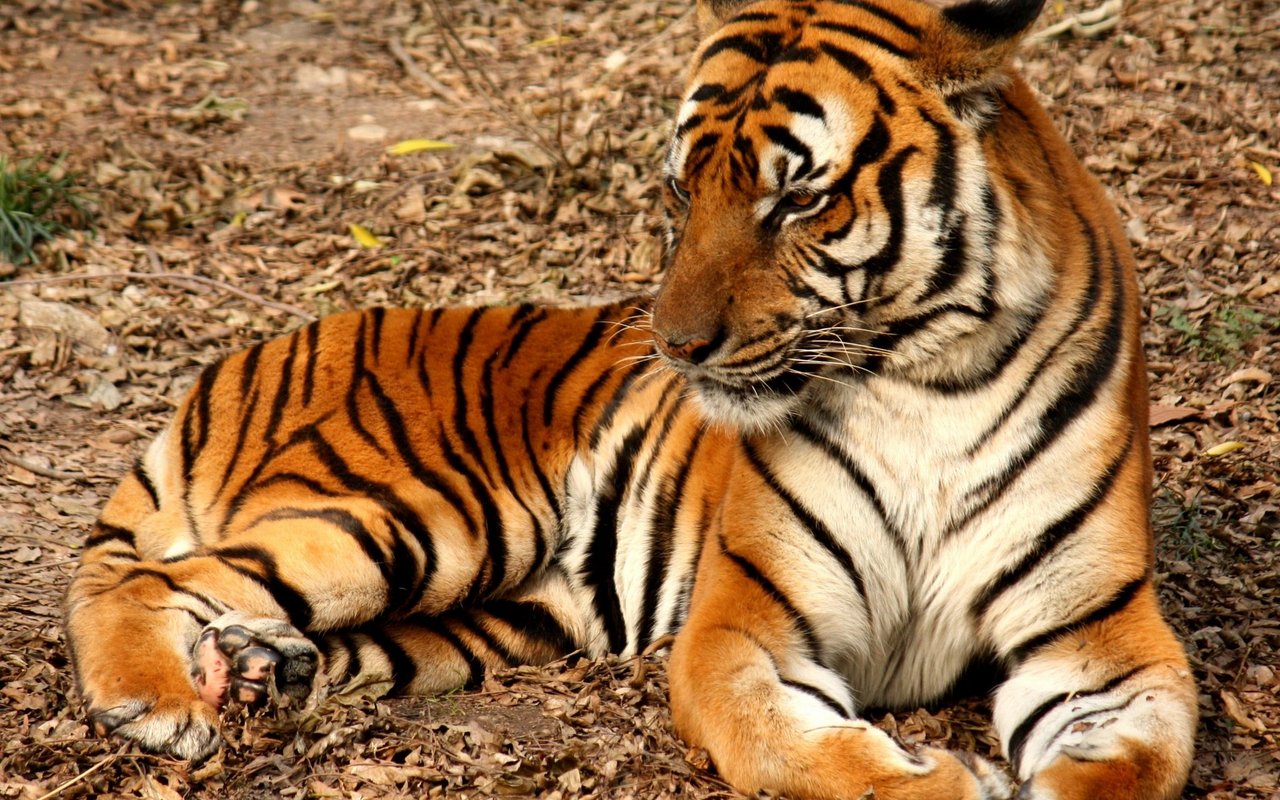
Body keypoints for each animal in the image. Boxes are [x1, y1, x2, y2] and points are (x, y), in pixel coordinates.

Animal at [63, 0, 1197, 797]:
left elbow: (1135, 762)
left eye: (798, 197)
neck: (925, 380)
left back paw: (260, 670)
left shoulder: (1100, 641)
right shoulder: (745, 625)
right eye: (681, 189)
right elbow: (805, 751)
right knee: (151, 579)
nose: (677, 347)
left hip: (504, 612)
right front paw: (943, 777)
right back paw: (157, 704)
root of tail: (247, 356)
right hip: (420, 515)